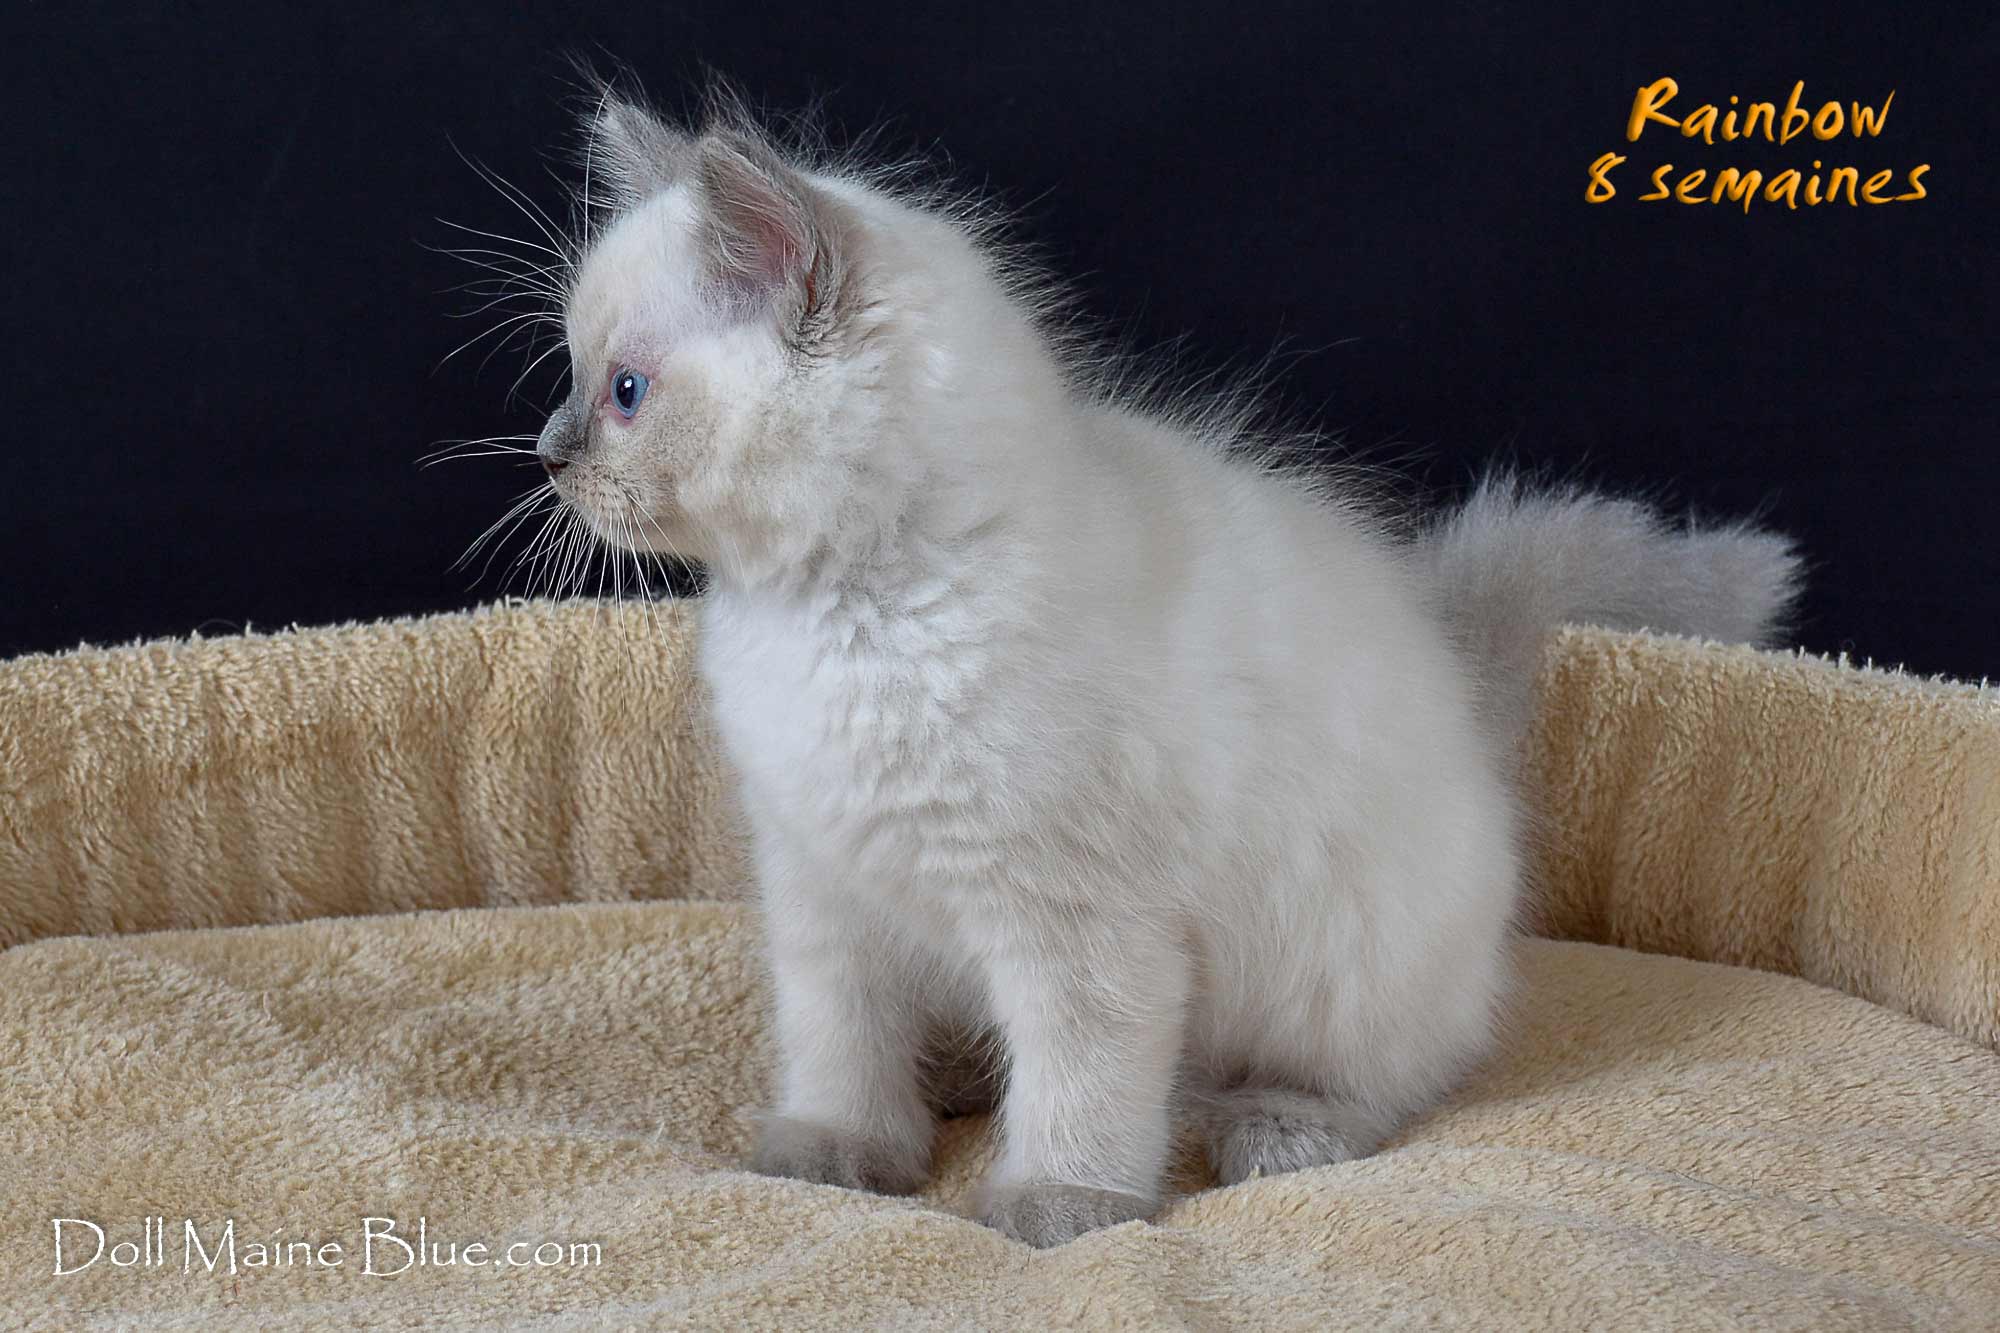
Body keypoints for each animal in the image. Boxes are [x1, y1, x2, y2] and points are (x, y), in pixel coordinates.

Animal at [505, 85, 1799, 1248]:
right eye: (572, 375)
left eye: (624, 393)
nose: (548, 452)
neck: (841, 617)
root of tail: (1465, 706)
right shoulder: (822, 881)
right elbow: (838, 1037)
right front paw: (839, 1149)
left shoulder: (1081, 920)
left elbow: (1083, 1075)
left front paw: (1062, 1204)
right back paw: (959, 1074)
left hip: (1337, 962)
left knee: (1381, 1078)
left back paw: (1274, 1124)